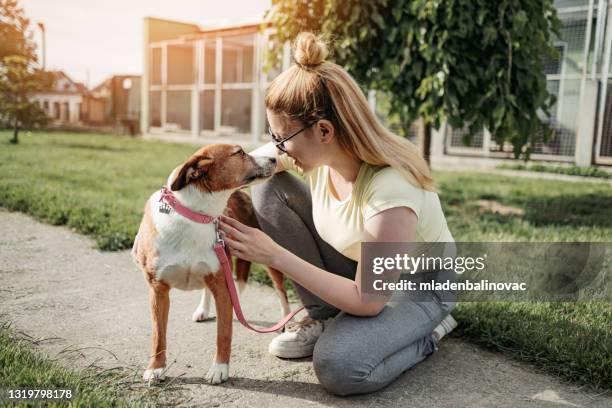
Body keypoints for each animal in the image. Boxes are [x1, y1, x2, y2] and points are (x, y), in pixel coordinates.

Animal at [131, 144, 284, 386]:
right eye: (240, 152)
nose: (274, 159)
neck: (196, 215)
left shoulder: (223, 287)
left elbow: (223, 333)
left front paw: (219, 369)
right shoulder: (158, 289)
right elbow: (158, 335)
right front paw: (156, 368)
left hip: (269, 257)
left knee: (281, 291)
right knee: (205, 288)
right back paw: (202, 310)